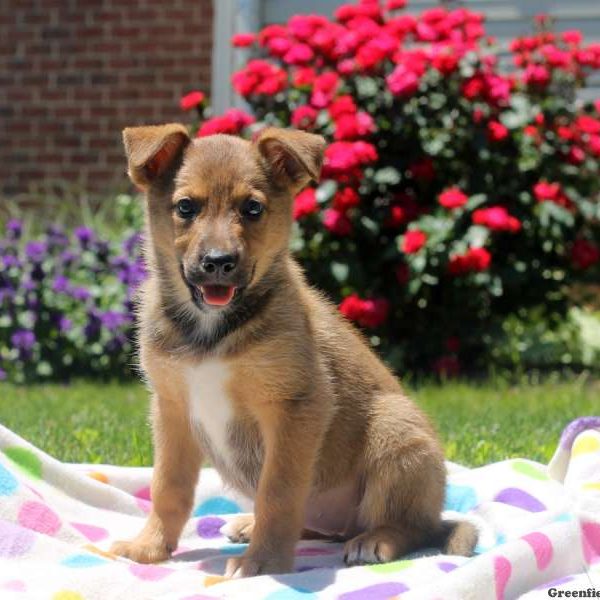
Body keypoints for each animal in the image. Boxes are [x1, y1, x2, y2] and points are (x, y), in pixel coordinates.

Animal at [111, 123, 478, 576]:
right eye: (185, 207)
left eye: (252, 208)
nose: (218, 262)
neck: (212, 333)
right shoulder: (171, 408)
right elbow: (167, 486)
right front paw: (149, 548)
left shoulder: (295, 407)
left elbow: (279, 492)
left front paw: (263, 564)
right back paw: (249, 525)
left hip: (396, 429)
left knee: (415, 527)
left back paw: (376, 540)